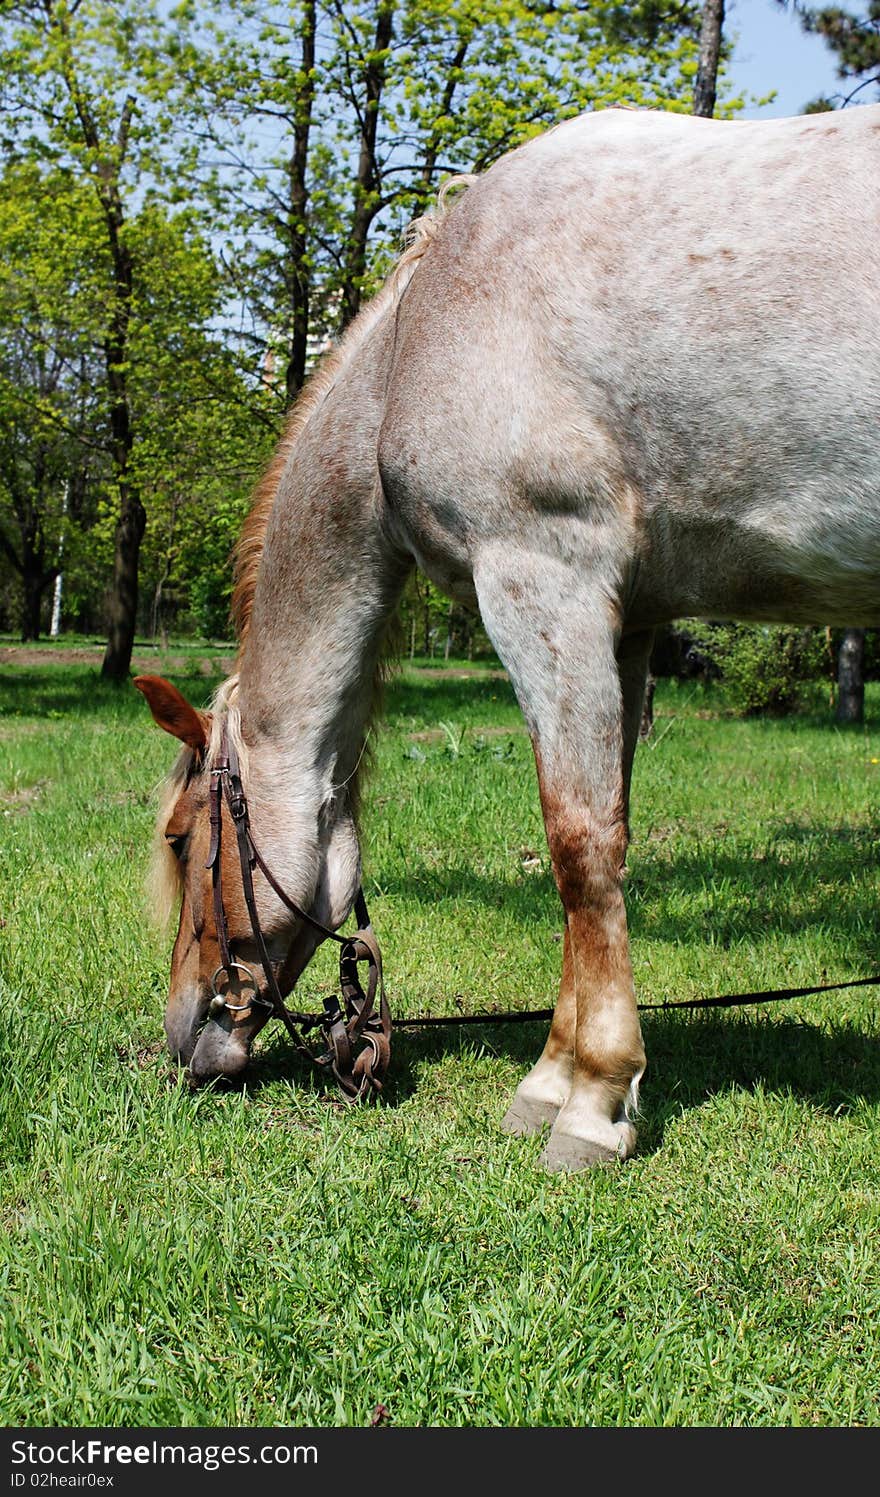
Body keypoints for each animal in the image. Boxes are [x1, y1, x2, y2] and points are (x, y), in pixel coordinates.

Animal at [137, 110, 880, 1173]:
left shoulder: (540, 581)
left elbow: (577, 844)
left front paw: (594, 1098)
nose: (184, 1031)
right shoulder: (623, 622)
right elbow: (604, 839)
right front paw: (553, 1078)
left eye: (180, 837)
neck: (426, 329)